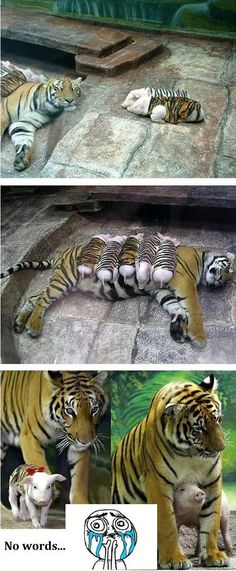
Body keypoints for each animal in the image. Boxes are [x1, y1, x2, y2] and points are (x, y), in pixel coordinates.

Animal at [0, 374, 108, 502]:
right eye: (70, 411)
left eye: (94, 409)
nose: (86, 442)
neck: (59, 426)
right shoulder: (30, 437)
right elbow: (38, 464)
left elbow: (80, 478)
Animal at [1, 236, 234, 346]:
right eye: (229, 269)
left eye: (227, 278)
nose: (220, 282)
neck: (202, 260)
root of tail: (62, 252)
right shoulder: (184, 281)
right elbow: (193, 308)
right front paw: (199, 338)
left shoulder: (160, 290)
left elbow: (175, 307)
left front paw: (177, 330)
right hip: (64, 279)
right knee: (42, 299)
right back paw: (32, 326)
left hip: (64, 284)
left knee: (34, 297)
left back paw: (20, 323)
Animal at [111, 378, 228, 568]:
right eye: (199, 428)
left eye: (218, 419)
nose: (221, 448)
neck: (191, 454)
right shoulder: (158, 482)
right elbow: (167, 524)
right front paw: (174, 559)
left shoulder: (212, 480)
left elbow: (211, 520)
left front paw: (213, 556)